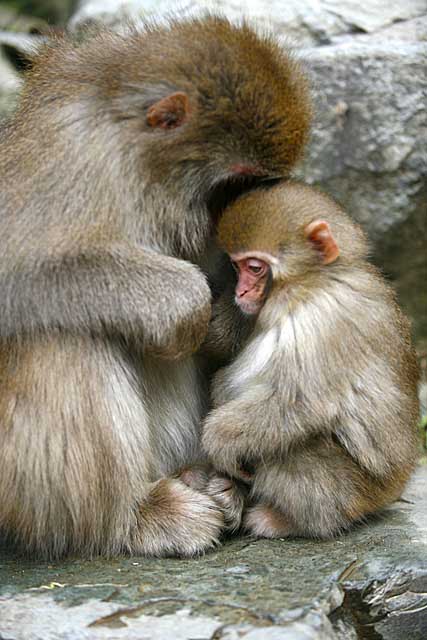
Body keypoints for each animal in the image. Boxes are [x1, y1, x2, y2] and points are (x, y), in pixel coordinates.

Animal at [0, 15, 310, 556]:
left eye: (261, 185)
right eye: (237, 183)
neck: (136, 171)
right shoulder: (65, 158)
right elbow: (16, 273)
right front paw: (182, 302)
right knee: (63, 332)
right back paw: (131, 517)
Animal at [202, 181, 420, 540]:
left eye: (255, 268)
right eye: (236, 266)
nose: (241, 293)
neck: (315, 281)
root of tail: (393, 488)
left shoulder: (324, 321)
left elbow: (299, 403)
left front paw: (217, 444)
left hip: (348, 490)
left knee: (288, 448)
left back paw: (290, 520)